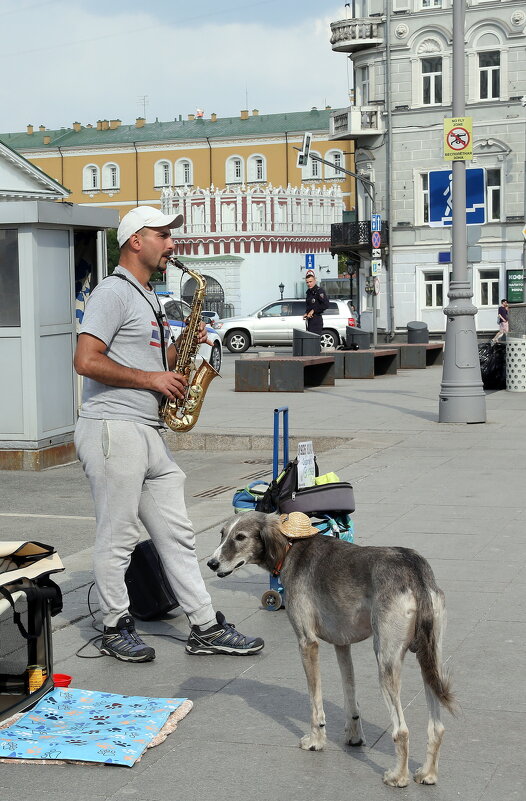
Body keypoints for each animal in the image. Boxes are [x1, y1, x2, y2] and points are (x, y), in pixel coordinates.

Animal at [209, 510, 458, 784]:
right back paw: (428, 773)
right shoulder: (342, 644)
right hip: (430, 657)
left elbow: (315, 703)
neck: (291, 548)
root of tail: (413, 568)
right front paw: (354, 737)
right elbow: (350, 698)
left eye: (240, 537)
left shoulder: (307, 643)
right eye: (222, 534)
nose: (211, 563)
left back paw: (398, 777)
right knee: (437, 727)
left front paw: (317, 740)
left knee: (401, 730)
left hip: (386, 660)